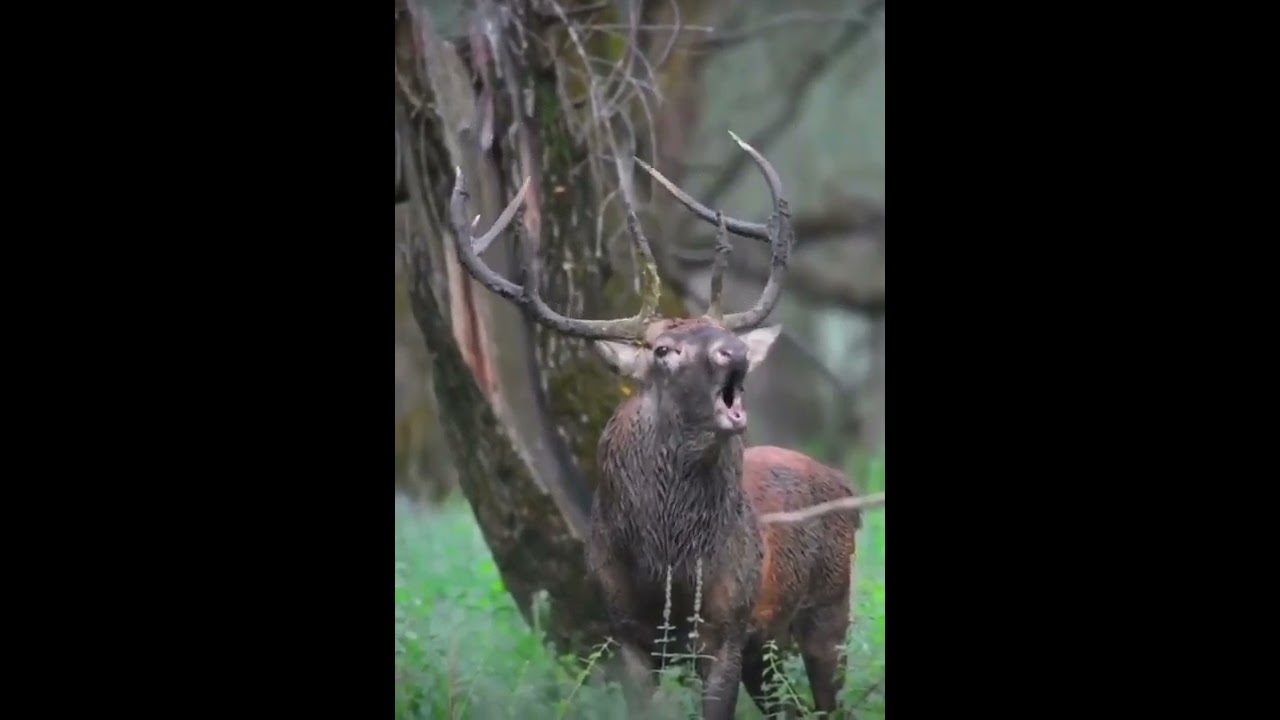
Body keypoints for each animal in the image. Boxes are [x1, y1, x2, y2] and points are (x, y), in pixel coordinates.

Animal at [446, 134, 861, 720]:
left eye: (719, 334)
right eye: (664, 350)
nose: (734, 351)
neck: (666, 566)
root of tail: (845, 486)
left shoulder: (725, 625)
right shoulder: (626, 630)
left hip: (828, 607)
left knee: (828, 701)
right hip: (768, 643)